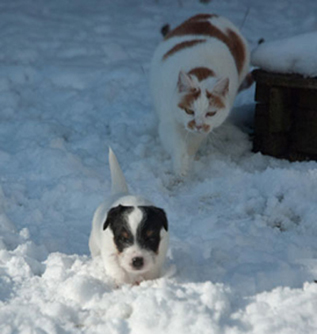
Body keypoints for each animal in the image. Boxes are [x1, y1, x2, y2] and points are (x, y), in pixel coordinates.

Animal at [87, 149, 169, 288]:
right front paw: (123, 284)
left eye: (151, 238)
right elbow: (119, 270)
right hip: (94, 244)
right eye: (123, 239)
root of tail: (120, 193)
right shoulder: (110, 252)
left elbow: (151, 269)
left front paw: (147, 282)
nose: (137, 261)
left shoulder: (159, 251)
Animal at [149, 13, 251, 175]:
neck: (202, 70)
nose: (198, 125)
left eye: (211, 113)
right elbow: (177, 145)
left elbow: (192, 145)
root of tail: (210, 14)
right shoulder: (169, 120)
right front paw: (180, 168)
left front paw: (188, 162)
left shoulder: (203, 130)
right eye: (189, 111)